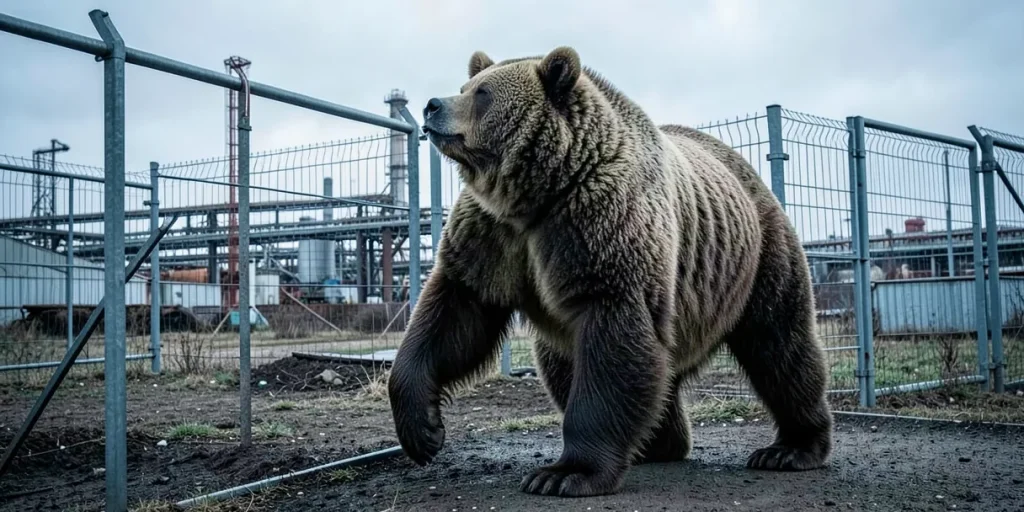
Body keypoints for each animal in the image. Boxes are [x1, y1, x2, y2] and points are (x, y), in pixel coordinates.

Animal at [387, 46, 833, 498]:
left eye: (483, 94)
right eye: (465, 87)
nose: (433, 105)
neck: (537, 195)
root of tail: (744, 168)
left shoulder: (600, 229)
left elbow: (612, 340)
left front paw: (565, 473)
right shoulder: (493, 237)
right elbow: (455, 314)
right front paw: (423, 429)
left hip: (757, 257)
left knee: (780, 346)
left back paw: (791, 448)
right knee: (576, 365)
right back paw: (657, 443)